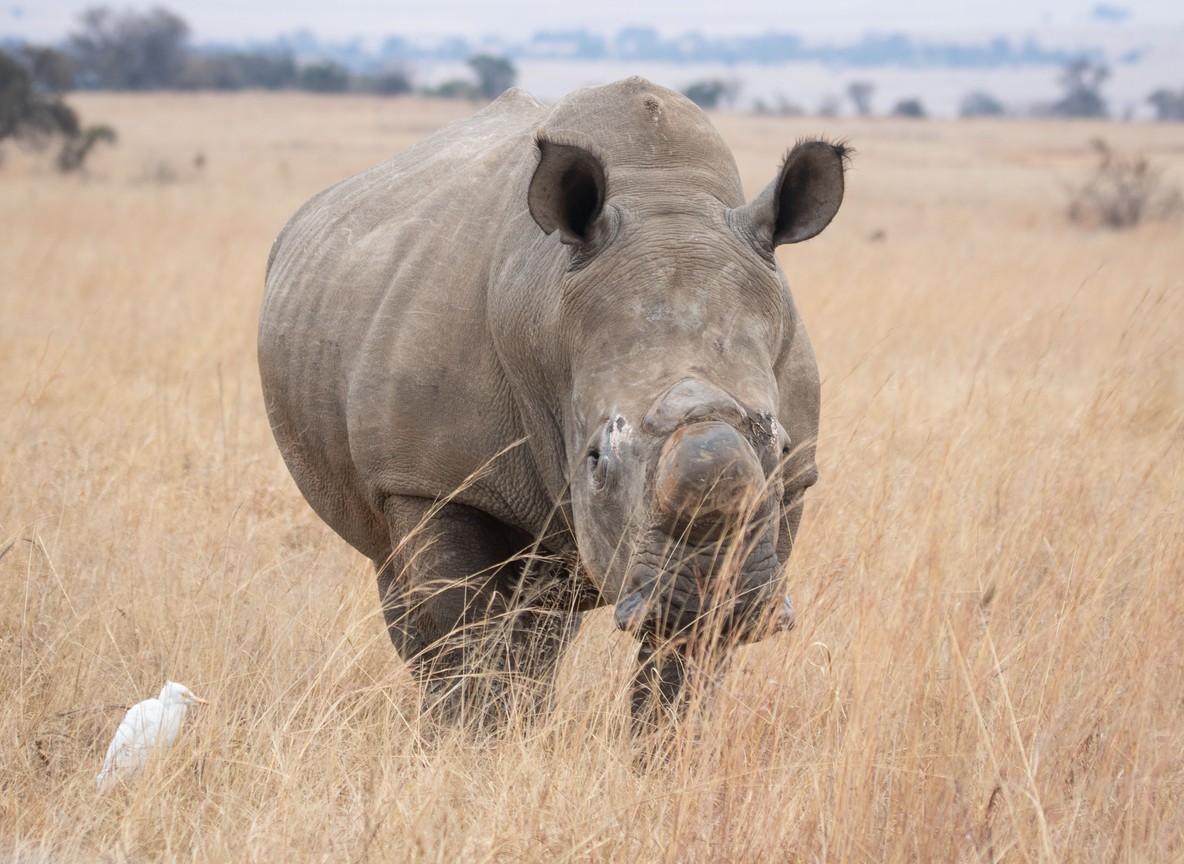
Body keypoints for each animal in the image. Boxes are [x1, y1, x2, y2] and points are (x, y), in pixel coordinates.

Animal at [259, 77, 847, 727]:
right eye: (595, 460)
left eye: (782, 446)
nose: (708, 588)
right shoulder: (426, 478)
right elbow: (461, 636)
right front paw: (472, 743)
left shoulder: (789, 492)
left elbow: (682, 672)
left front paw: (663, 748)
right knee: (413, 596)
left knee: (541, 618)